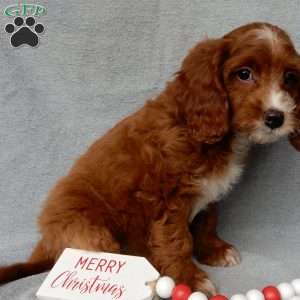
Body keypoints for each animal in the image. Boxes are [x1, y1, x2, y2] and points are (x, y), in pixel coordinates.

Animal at [0, 22, 300, 294]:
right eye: (244, 74)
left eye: (289, 77)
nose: (276, 118)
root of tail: (44, 246)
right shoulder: (168, 200)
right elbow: (177, 241)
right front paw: (190, 280)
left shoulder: (208, 192)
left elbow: (207, 222)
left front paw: (215, 251)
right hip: (84, 227)